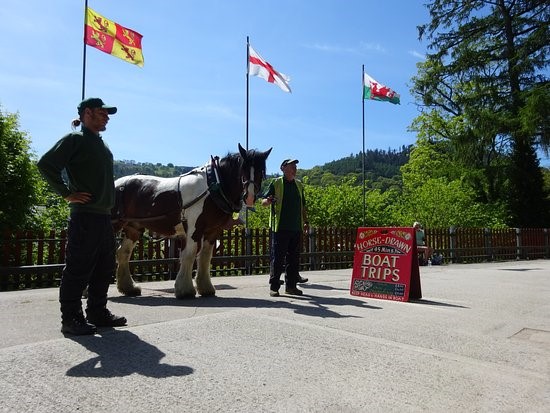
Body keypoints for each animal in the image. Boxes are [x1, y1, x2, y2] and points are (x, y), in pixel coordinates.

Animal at [113, 143, 272, 298]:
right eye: (243, 168)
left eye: (261, 171)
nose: (249, 197)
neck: (213, 186)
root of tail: (116, 183)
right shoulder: (194, 229)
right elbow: (190, 254)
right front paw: (185, 289)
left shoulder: (212, 231)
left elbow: (205, 257)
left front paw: (205, 287)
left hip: (133, 228)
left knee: (123, 253)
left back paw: (128, 287)